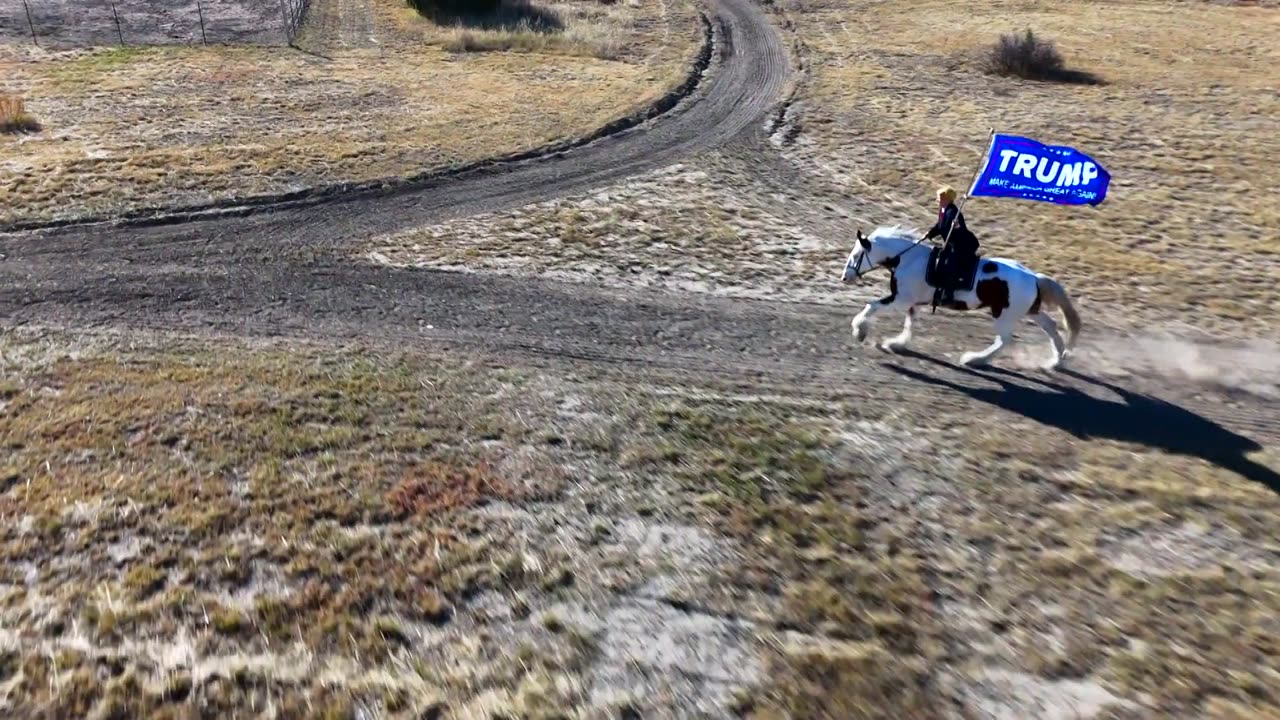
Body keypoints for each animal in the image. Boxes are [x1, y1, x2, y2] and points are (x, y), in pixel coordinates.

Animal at [839, 222, 1080, 368]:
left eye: (857, 255)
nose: (844, 277)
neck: (908, 259)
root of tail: (1033, 277)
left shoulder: (899, 300)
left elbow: (872, 306)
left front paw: (859, 331)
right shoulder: (911, 302)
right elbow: (910, 322)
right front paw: (897, 343)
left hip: (1004, 315)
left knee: (1004, 340)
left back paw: (974, 359)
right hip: (1030, 311)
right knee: (1050, 327)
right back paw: (1056, 360)